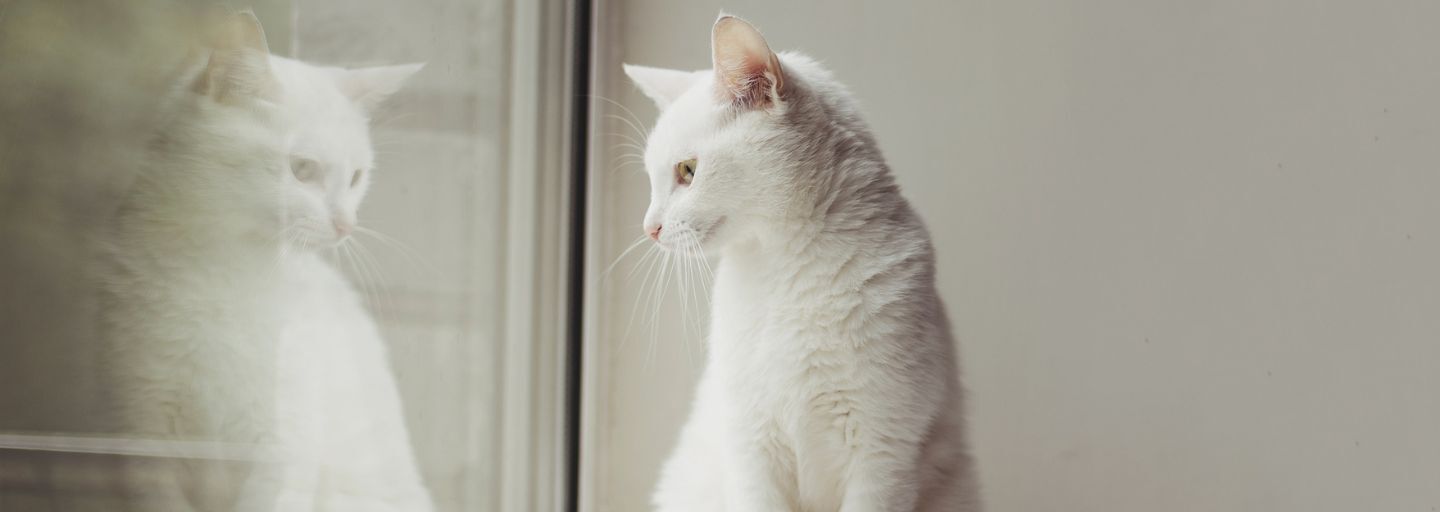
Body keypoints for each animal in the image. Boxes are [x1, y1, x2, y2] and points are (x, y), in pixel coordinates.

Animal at [96, 12, 432, 512]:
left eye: (356, 177)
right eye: (303, 170)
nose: (346, 225)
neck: (224, 269)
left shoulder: (282, 445)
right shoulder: (145, 441)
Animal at [624, 14, 984, 509]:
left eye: (687, 171)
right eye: (651, 179)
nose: (649, 228)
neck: (783, 274)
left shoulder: (882, 455)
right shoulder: (751, 450)